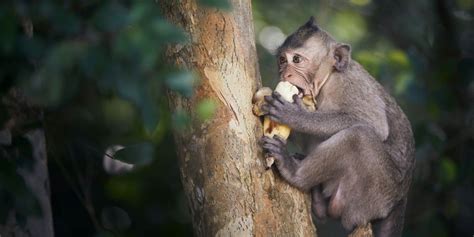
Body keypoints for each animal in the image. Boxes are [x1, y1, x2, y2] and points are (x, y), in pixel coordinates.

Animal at [260, 17, 414, 237]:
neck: (326, 81)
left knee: (358, 137)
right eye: (282, 60)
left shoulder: (349, 84)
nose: (285, 73)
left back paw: (294, 172)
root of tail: (400, 199)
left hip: (374, 194)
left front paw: (295, 115)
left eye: (296, 60)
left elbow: (374, 124)